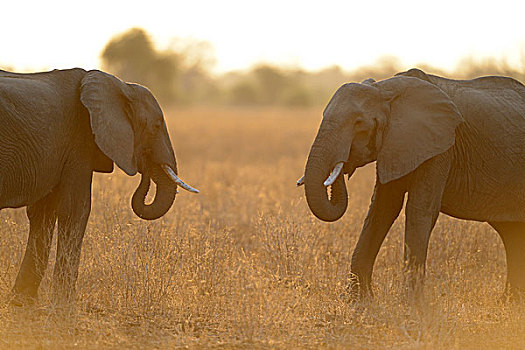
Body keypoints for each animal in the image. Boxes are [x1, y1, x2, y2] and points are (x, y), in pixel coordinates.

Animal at [0, 67, 199, 304]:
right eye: (157, 125)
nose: (145, 167)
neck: (122, 86)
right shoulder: (80, 140)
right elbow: (76, 209)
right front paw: (65, 307)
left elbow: (43, 212)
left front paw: (23, 303)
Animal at [298, 67, 525, 298]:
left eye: (359, 123)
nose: (343, 165)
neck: (384, 90)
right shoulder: (396, 144)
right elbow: (382, 210)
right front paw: (360, 302)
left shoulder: (441, 146)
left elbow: (419, 209)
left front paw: (411, 304)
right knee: (511, 232)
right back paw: (508, 302)